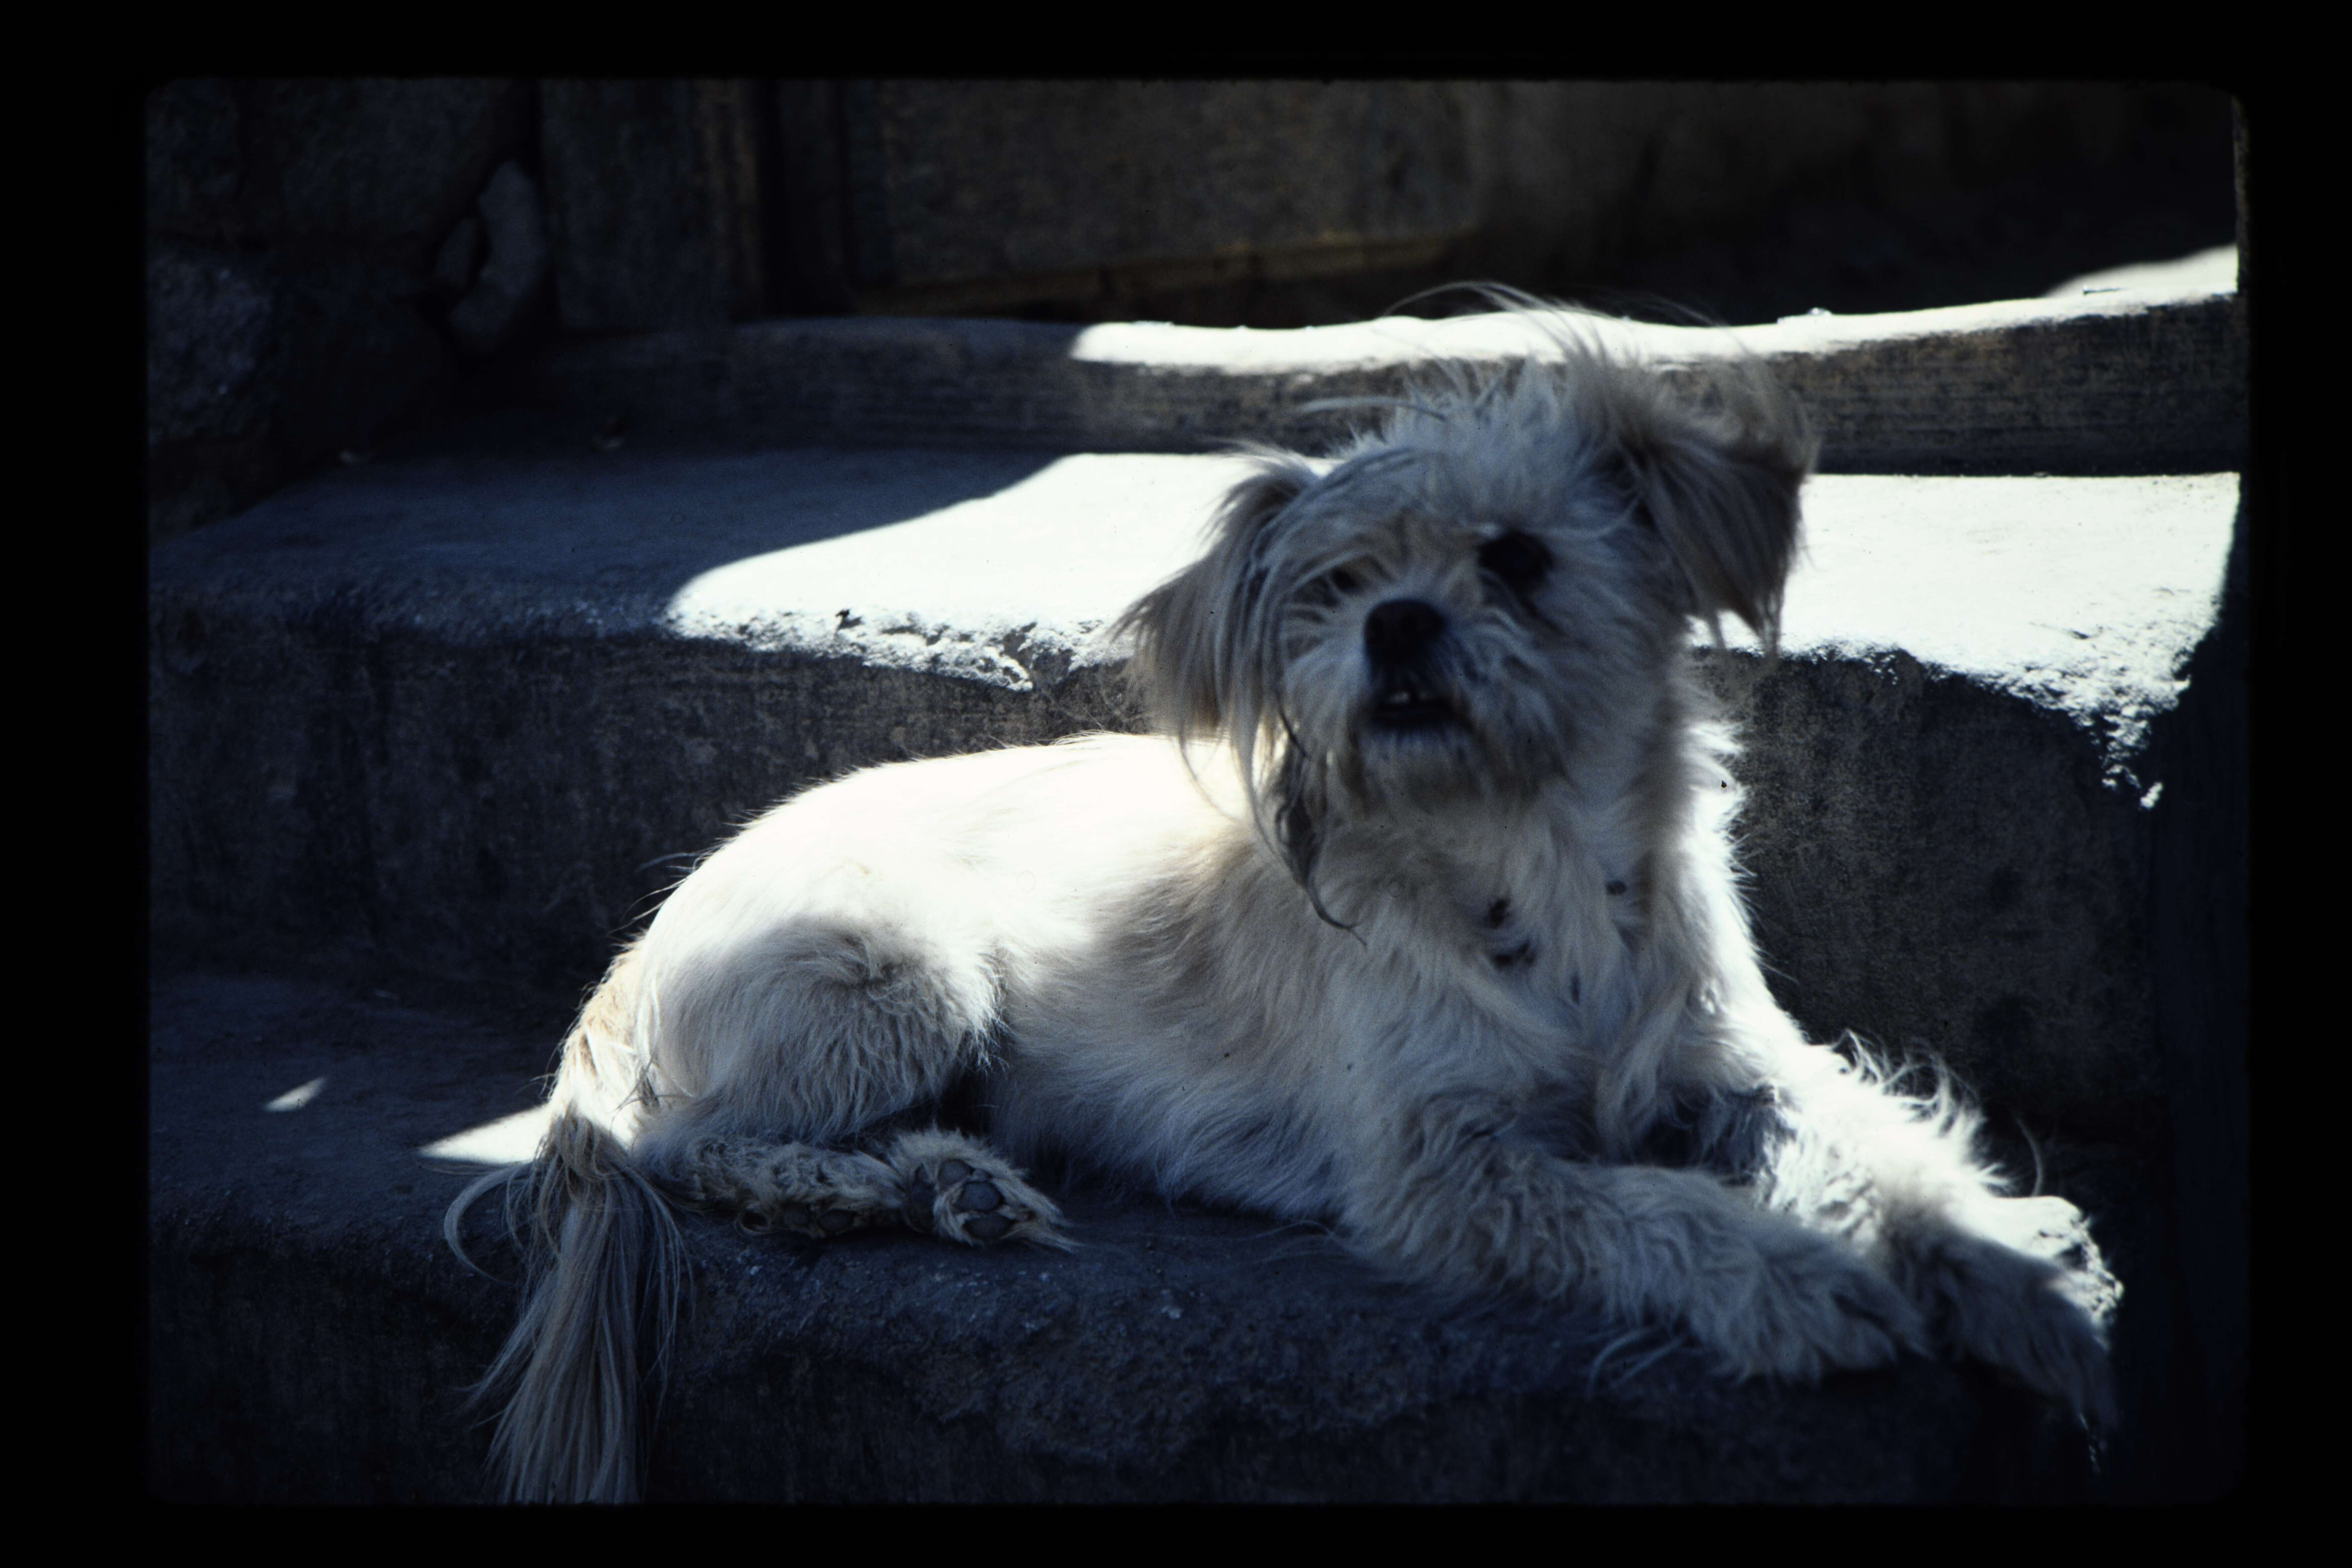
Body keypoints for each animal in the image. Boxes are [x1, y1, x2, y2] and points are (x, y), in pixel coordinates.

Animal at [450, 325, 2120, 1502]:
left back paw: (946, 1183)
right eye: (1330, 583)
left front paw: (2012, 1273)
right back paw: (903, 1189)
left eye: (1517, 556)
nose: (1399, 623)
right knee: (696, 1149)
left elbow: (1878, 1144)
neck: (1524, 857)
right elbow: (1643, 1205)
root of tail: (635, 953)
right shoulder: (1444, 1165)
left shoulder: (1734, 1062)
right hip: (905, 978)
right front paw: (1791, 1280)